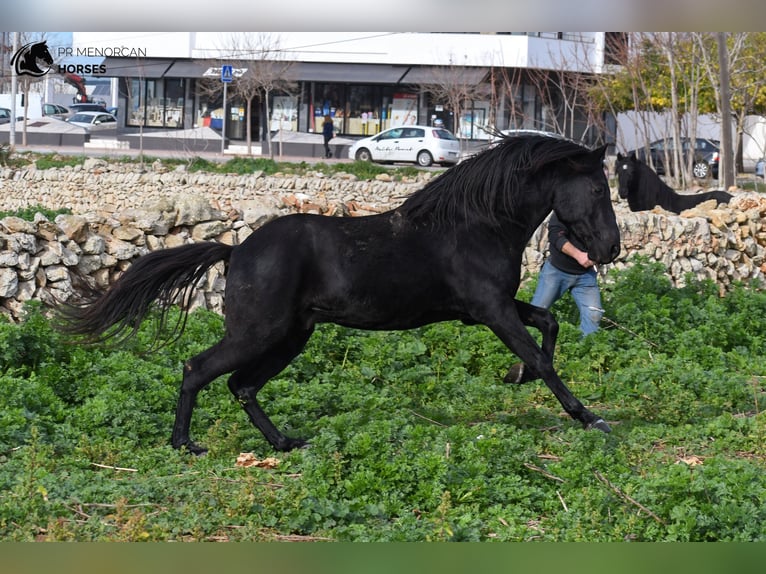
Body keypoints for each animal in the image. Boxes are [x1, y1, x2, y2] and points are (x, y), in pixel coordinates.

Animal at [58, 135, 624, 454]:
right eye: (599, 189)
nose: (612, 248)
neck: (476, 225)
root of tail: (236, 250)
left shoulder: (485, 310)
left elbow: (549, 325)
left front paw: (516, 375)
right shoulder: (491, 310)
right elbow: (545, 356)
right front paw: (590, 416)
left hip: (291, 337)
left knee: (242, 385)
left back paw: (285, 442)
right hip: (258, 332)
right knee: (199, 369)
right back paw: (184, 445)